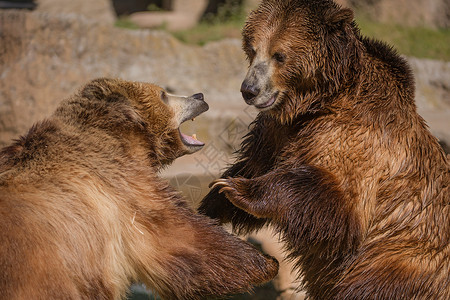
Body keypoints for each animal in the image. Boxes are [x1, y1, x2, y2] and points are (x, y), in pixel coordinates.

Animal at [199, 0, 448, 300]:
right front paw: (215, 198)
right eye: (252, 48)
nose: (249, 90)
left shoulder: (356, 133)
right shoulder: (277, 132)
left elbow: (336, 199)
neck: (314, 103)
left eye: (279, 55)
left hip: (398, 259)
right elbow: (253, 162)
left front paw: (239, 189)